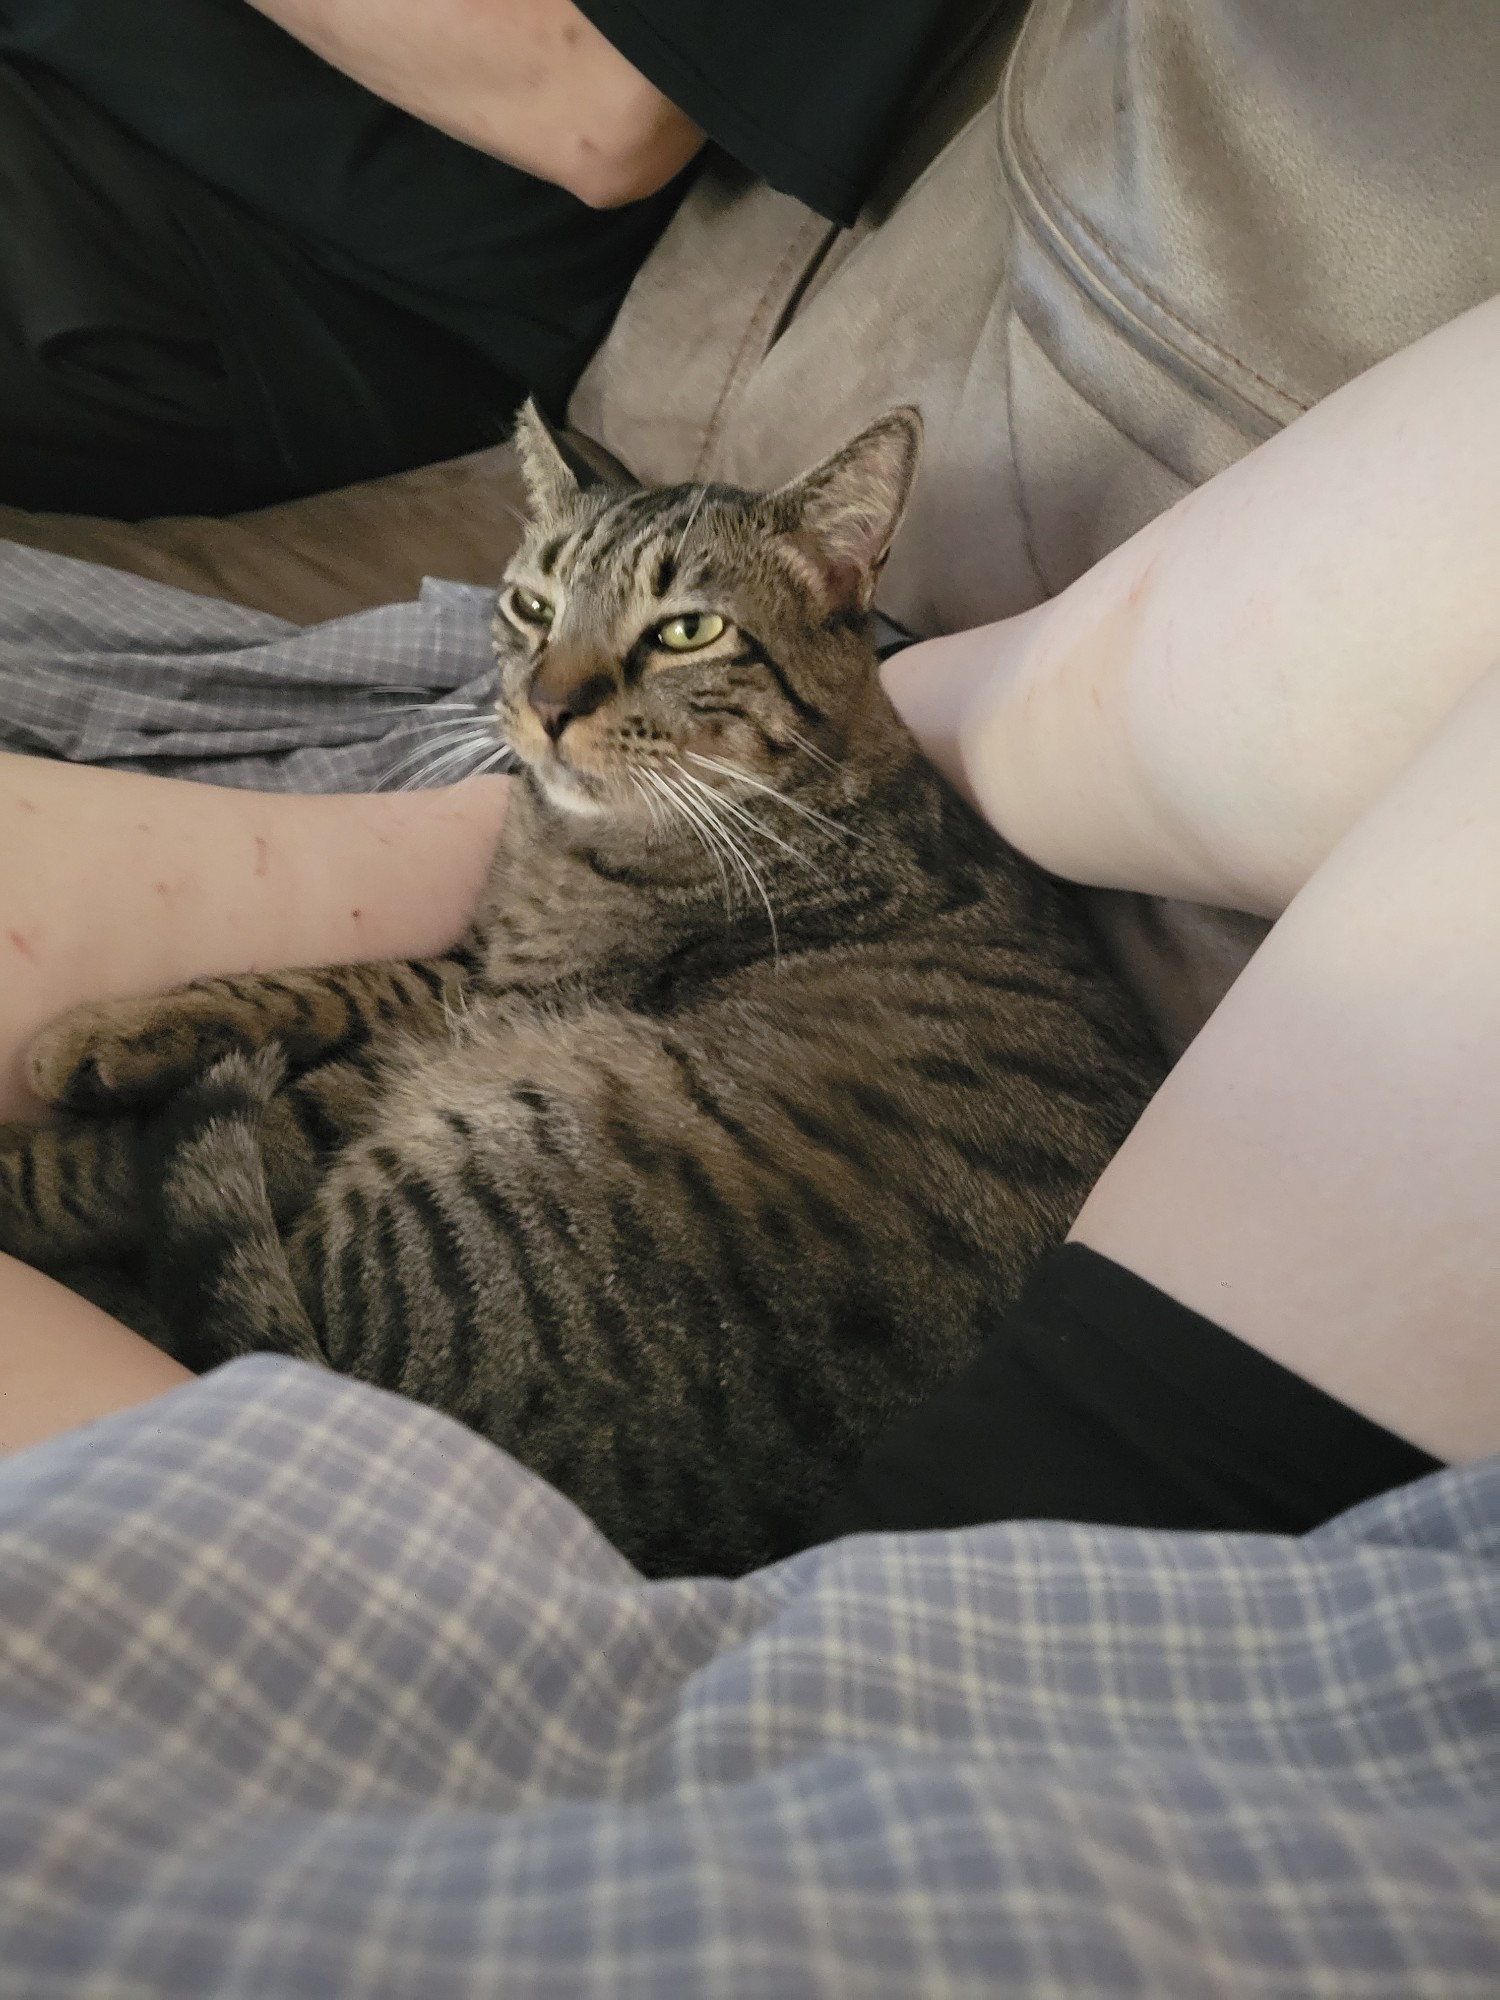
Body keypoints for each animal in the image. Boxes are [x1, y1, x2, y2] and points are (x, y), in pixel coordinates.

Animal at [0, 406, 1160, 1576]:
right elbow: (313, 984)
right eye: (532, 605)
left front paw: (29, 1167)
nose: (544, 705)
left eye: (688, 631)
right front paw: (109, 1035)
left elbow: (164, 1142)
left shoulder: (488, 1016)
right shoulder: (472, 971)